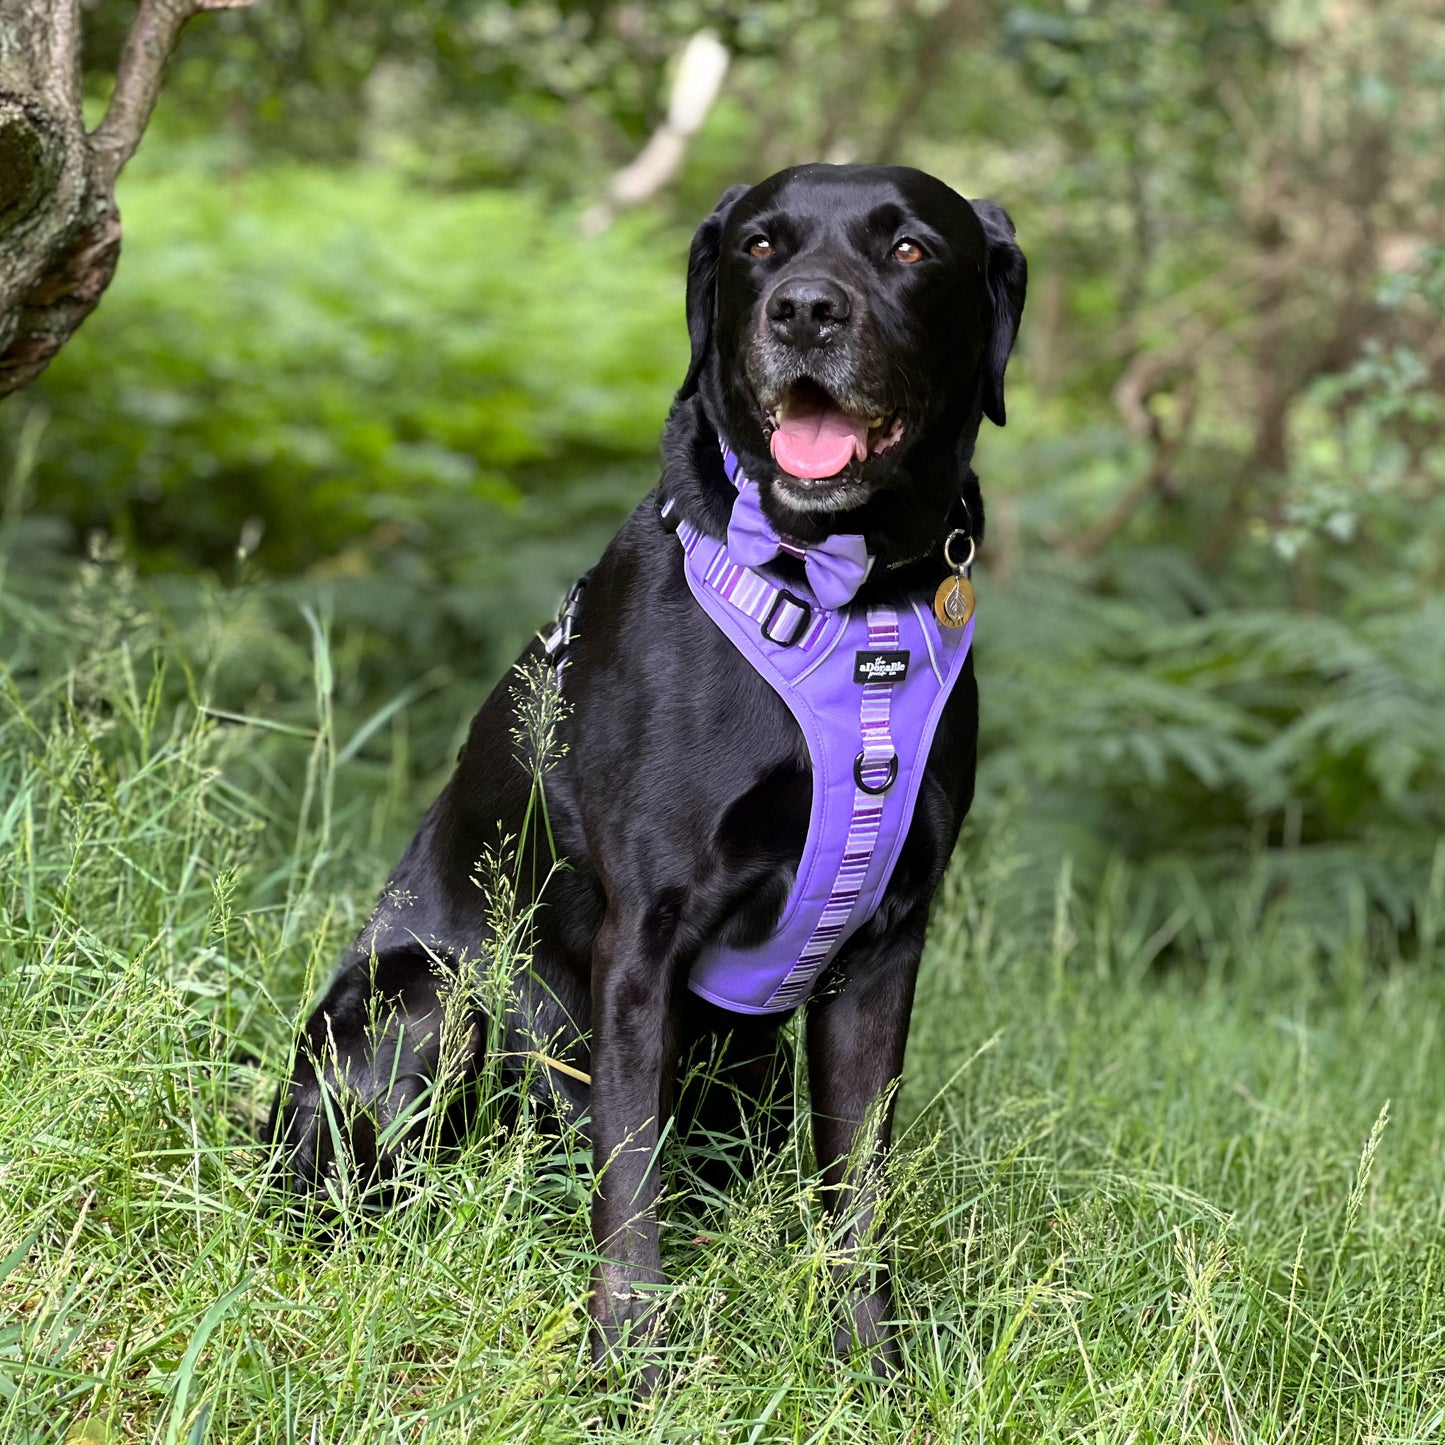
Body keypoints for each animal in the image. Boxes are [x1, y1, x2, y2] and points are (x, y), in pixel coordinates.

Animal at [268, 164, 1017, 1381]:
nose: (804, 311)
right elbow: (629, 1193)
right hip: (429, 1000)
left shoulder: (883, 950)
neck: (844, 598)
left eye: (908, 249)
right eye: (761, 245)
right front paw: (630, 1374)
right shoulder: (644, 939)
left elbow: (856, 1196)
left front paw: (870, 1371)